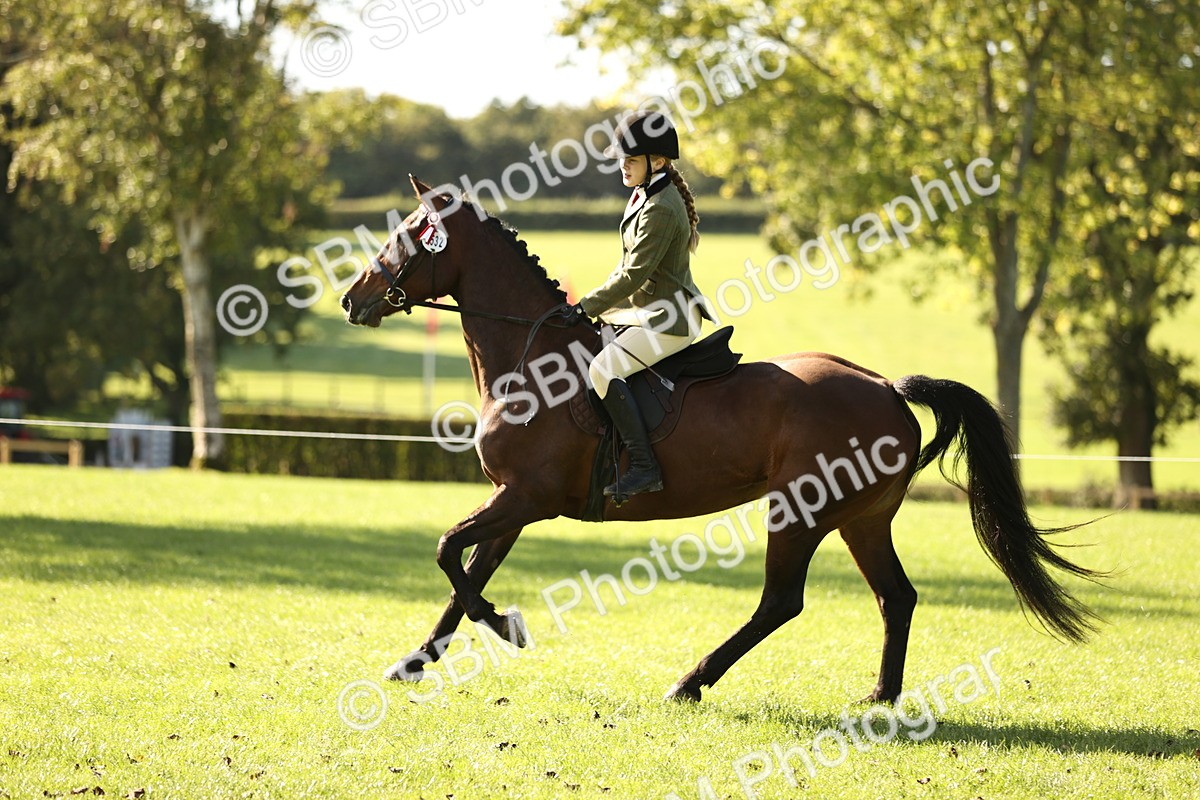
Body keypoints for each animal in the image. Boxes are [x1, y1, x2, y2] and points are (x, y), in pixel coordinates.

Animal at [340, 175, 1101, 704]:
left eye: (408, 235)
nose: (352, 299)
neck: (531, 362)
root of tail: (886, 386)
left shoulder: (526, 498)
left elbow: (449, 555)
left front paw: (505, 626)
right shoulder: (514, 502)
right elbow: (464, 575)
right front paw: (414, 662)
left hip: (800, 511)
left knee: (782, 602)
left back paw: (690, 682)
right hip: (862, 518)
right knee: (897, 597)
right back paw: (881, 696)